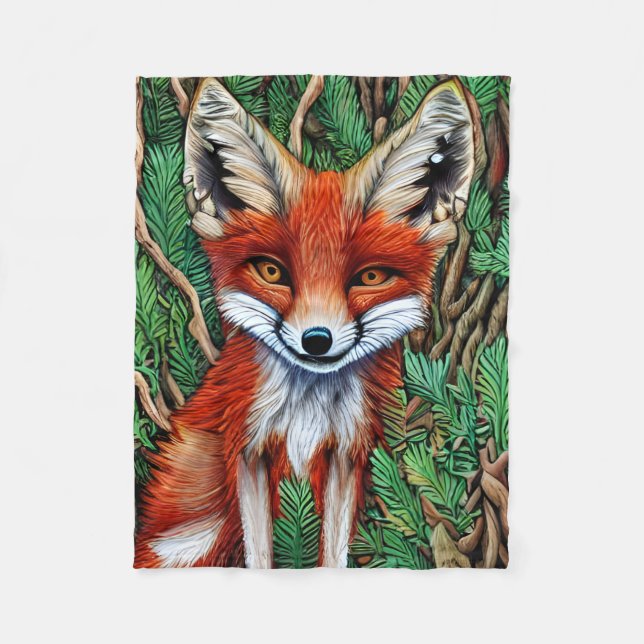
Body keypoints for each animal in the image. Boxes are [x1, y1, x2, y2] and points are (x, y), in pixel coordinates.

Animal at [134, 76, 482, 568]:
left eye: (369, 277)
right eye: (271, 271)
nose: (316, 340)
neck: (306, 413)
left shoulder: (346, 456)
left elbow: (334, 552)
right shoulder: (246, 450)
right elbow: (260, 554)